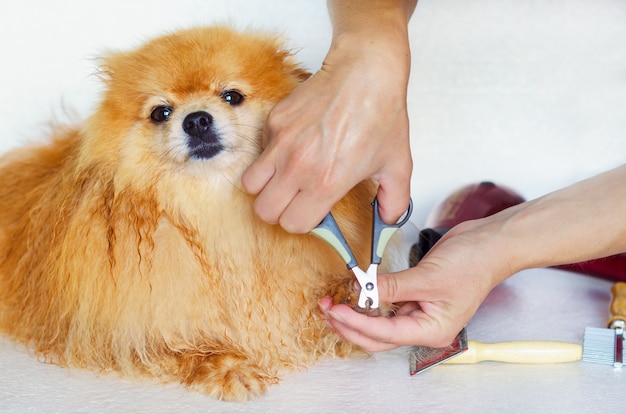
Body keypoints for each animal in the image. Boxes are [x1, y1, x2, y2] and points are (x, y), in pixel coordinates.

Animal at [0, 26, 382, 402]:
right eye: (160, 112)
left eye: (231, 96)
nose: (197, 120)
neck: (216, 207)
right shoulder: (129, 330)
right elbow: (187, 347)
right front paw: (229, 368)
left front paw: (354, 305)